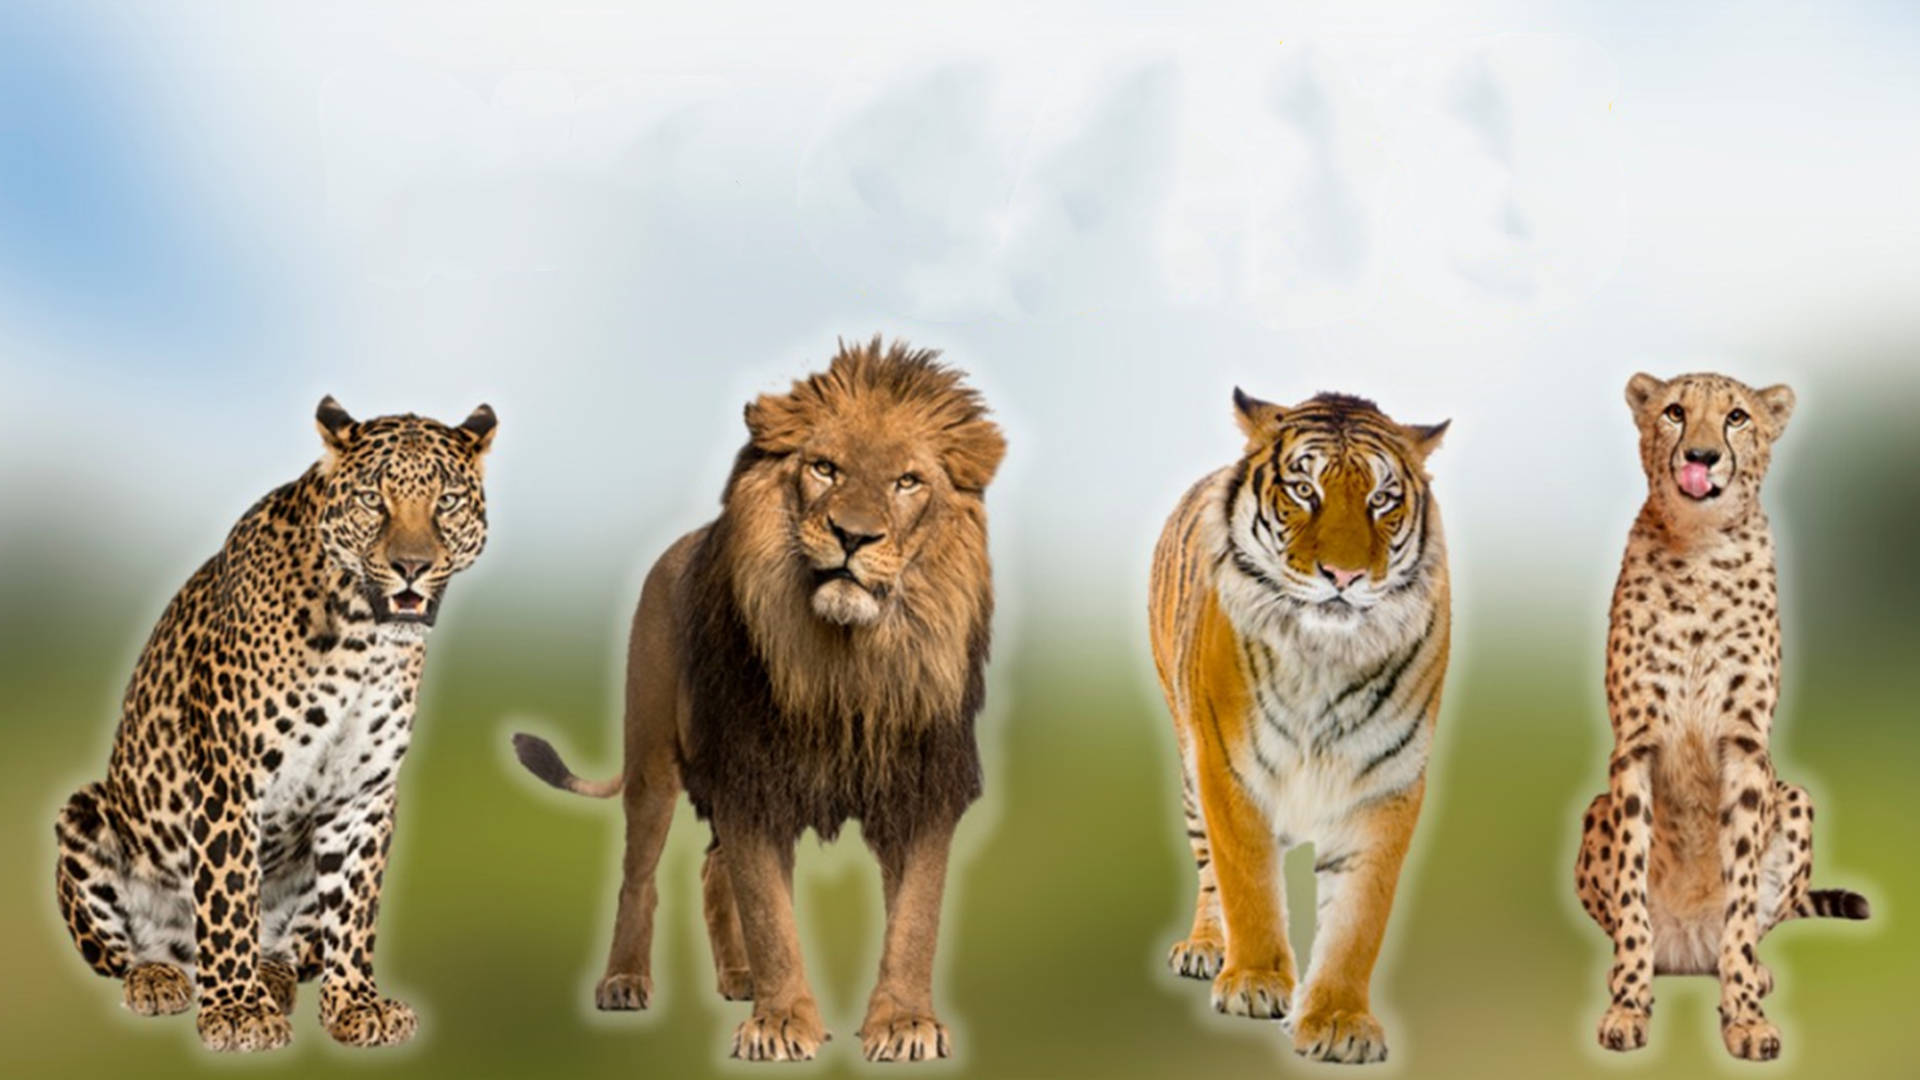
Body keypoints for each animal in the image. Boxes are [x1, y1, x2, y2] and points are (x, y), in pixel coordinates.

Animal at [1148, 388, 1451, 1064]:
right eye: (1304, 490)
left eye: (1382, 499)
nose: (1343, 577)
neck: (1324, 657)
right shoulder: (1228, 768)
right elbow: (1248, 885)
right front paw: (1255, 982)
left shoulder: (1385, 785)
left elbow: (1358, 920)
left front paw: (1338, 1020)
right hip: (1187, 763)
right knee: (1208, 868)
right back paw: (1206, 947)